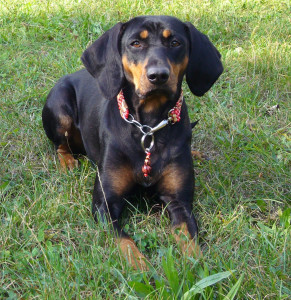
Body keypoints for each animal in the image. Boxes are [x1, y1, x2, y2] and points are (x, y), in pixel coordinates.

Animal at [41, 15, 224, 270]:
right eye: (135, 43)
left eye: (175, 42)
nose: (158, 75)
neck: (148, 126)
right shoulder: (105, 205)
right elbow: (124, 241)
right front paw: (141, 266)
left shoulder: (179, 202)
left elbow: (189, 240)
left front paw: (197, 267)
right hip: (60, 108)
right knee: (60, 145)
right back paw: (67, 162)